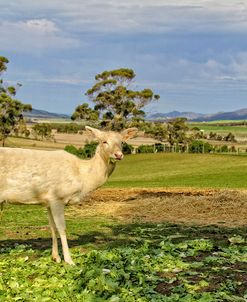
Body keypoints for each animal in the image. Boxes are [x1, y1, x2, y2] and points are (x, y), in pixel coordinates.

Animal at [0, 126, 137, 264]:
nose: (118, 155)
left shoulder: (48, 201)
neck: (83, 178)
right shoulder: (57, 197)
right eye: (104, 141)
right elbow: (62, 228)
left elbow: (52, 227)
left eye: (122, 142)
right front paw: (69, 260)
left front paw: (55, 257)